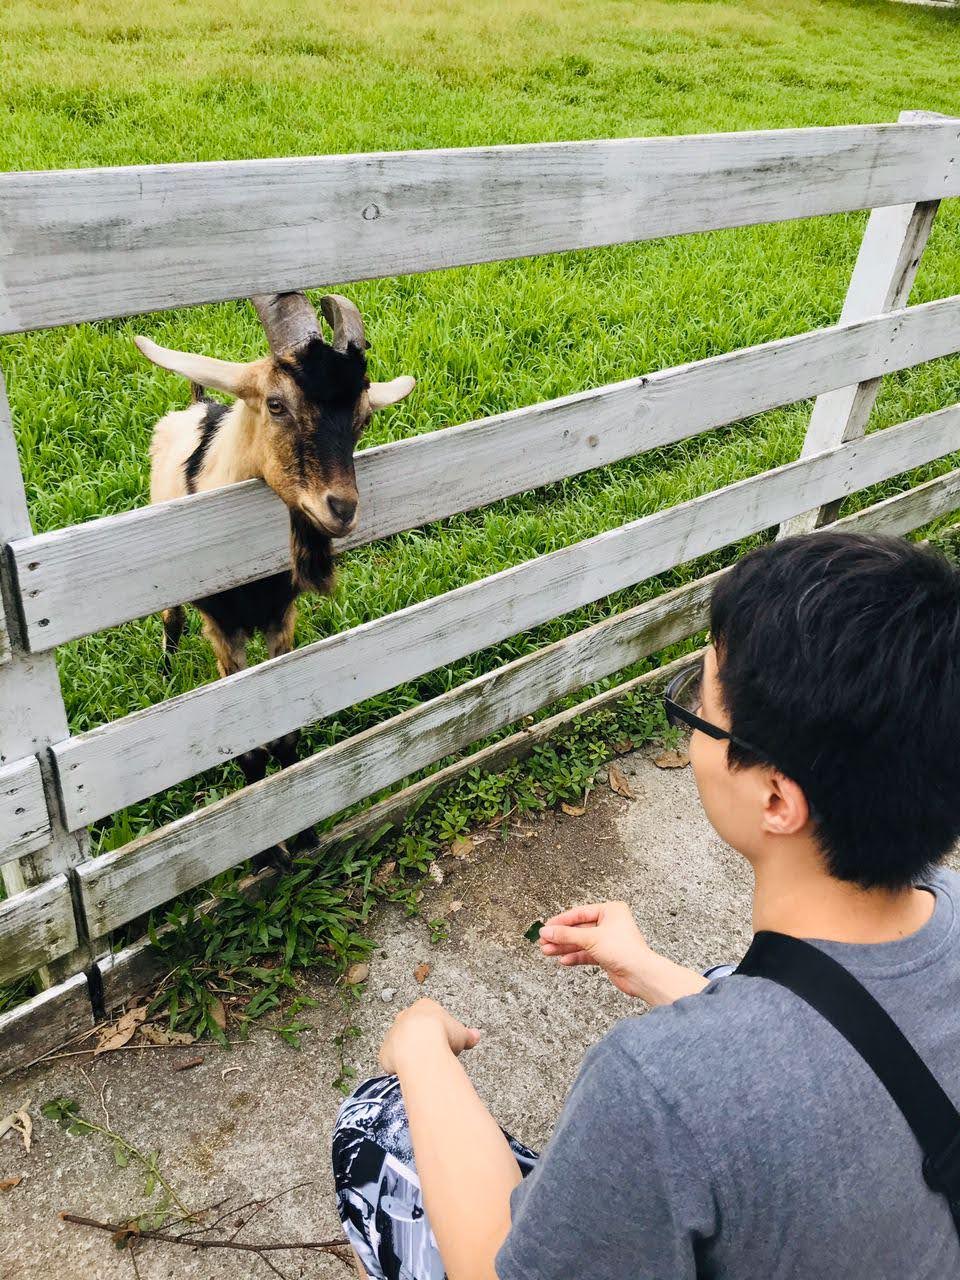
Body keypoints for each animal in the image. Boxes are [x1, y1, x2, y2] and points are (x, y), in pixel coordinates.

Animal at [136, 293, 414, 783]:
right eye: (276, 405)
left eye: (363, 418)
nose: (341, 509)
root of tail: (199, 404)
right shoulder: (224, 629)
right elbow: (249, 749)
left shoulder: (281, 617)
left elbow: (284, 733)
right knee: (172, 618)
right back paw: (167, 673)